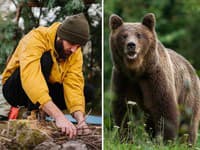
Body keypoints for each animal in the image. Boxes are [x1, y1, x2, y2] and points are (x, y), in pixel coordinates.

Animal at [108, 13, 200, 144]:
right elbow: (123, 109)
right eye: (124, 35)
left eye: (139, 35)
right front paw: (125, 139)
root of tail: (191, 67)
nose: (131, 45)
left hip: (188, 93)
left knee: (188, 121)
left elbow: (164, 108)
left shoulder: (155, 77)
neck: (137, 71)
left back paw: (187, 143)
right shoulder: (123, 79)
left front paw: (166, 141)